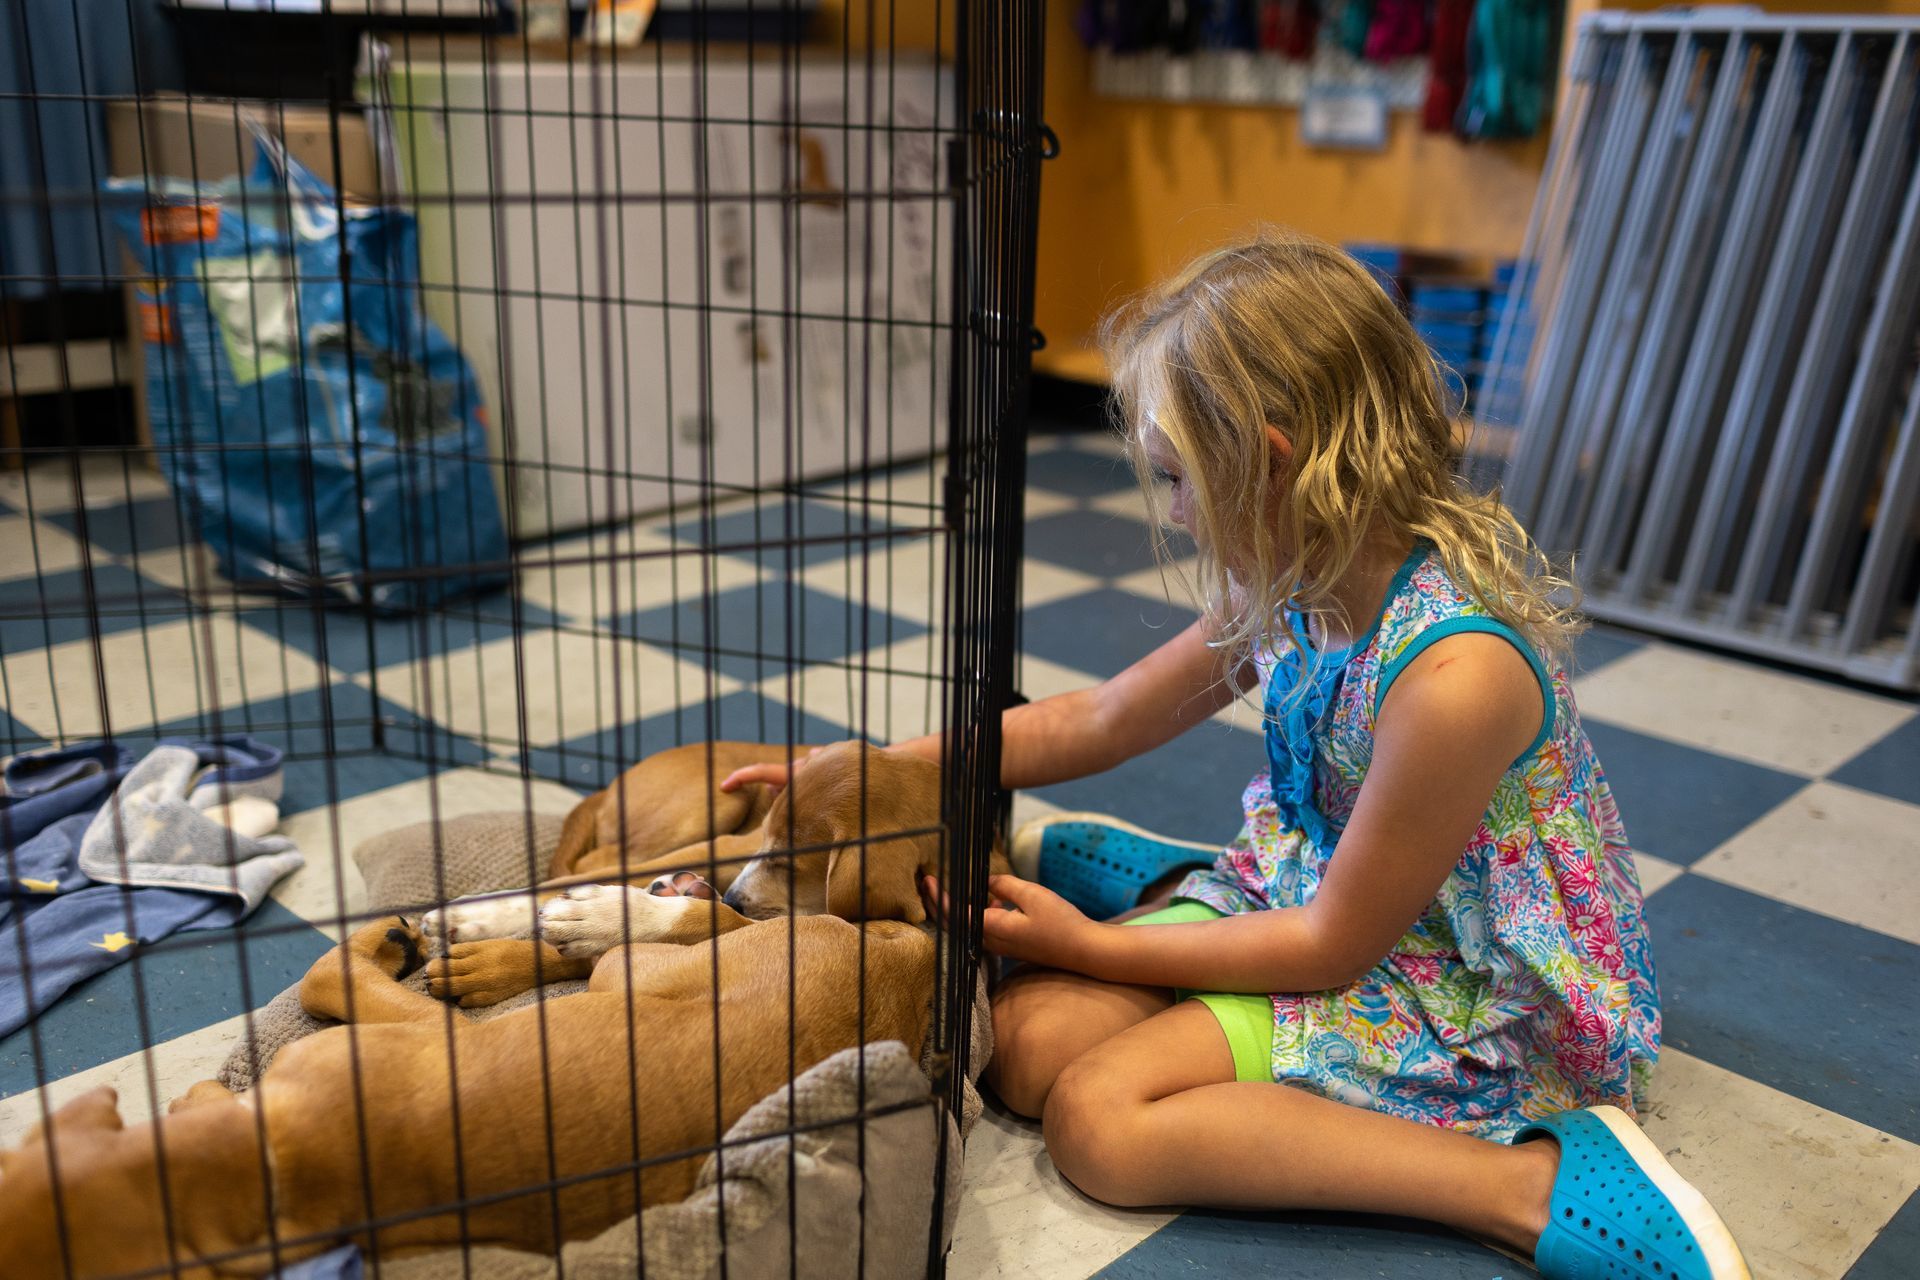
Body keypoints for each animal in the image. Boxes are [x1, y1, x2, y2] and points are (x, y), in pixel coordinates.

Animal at [0, 740, 960, 1280]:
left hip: (644, 959)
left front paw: (394, 943)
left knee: (626, 922)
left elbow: (327, 979)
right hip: (706, 827)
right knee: (606, 889)